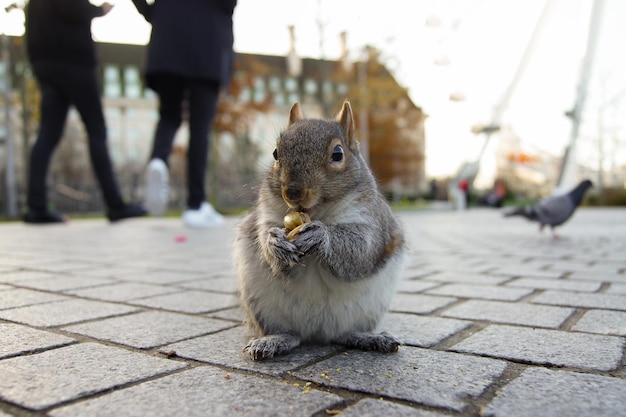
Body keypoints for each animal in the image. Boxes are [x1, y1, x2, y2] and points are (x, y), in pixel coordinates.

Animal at [233, 100, 404, 358]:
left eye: (338, 154)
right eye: (275, 153)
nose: (293, 192)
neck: (317, 213)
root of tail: (317, 334)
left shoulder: (372, 222)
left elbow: (361, 249)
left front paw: (320, 236)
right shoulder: (266, 215)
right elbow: (263, 235)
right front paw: (274, 243)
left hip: (370, 308)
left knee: (346, 334)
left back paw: (369, 337)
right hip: (260, 305)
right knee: (291, 334)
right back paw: (273, 341)